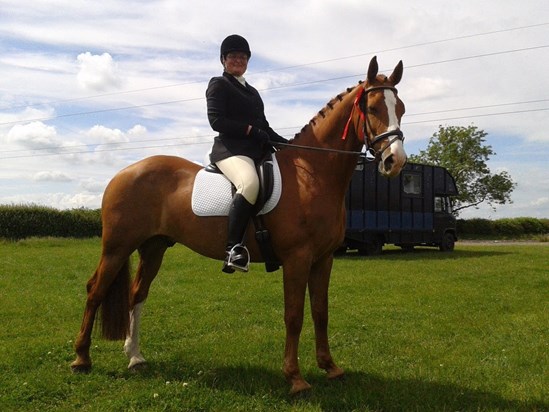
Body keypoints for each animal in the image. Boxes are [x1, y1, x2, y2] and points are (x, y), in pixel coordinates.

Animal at [70, 56, 406, 394]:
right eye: (373, 108)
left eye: (401, 108)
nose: (395, 161)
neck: (311, 173)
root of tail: (123, 173)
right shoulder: (297, 259)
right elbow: (294, 315)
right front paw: (295, 378)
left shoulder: (323, 259)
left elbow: (320, 312)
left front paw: (330, 367)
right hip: (117, 247)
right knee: (95, 290)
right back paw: (81, 359)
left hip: (154, 247)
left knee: (137, 294)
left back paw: (135, 357)